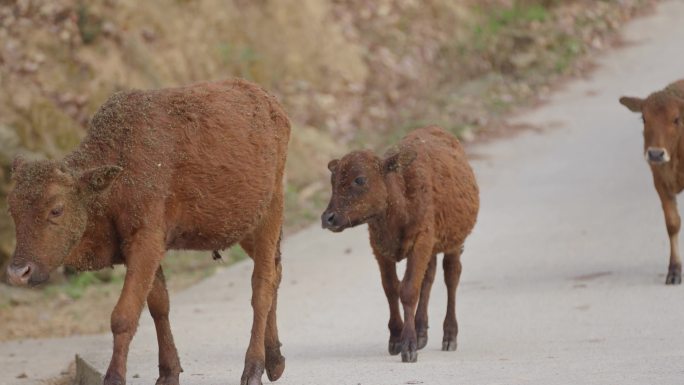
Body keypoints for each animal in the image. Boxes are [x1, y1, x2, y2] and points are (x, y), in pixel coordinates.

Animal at [8, 79, 292, 384]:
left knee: (262, 285)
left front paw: (114, 377)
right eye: (12, 209)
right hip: (245, 228)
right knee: (276, 271)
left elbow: (124, 315)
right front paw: (168, 372)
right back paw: (275, 360)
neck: (113, 181)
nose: (17, 273)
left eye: (56, 209)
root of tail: (271, 104)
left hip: (270, 212)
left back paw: (253, 368)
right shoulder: (148, 247)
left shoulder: (145, 242)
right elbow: (159, 305)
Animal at [322, 125, 478, 360]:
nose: (328, 218)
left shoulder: (420, 243)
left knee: (451, 277)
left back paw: (449, 336)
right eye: (333, 181)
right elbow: (391, 289)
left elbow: (408, 290)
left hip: (454, 243)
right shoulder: (381, 249)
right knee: (428, 278)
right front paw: (396, 338)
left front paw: (409, 345)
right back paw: (422, 331)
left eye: (360, 179)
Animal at [620, 79, 684, 284]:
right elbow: (672, 223)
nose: (655, 153)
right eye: (644, 118)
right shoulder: (660, 182)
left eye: (676, 119)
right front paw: (674, 271)